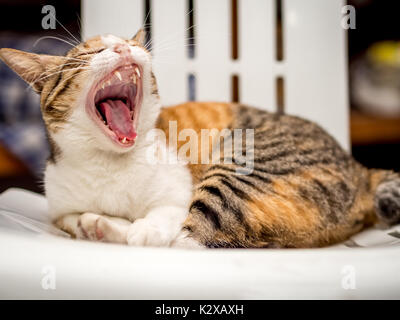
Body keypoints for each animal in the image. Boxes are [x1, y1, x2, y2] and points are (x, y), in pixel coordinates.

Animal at [0, 30, 400, 249]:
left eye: (128, 43)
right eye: (93, 52)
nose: (125, 49)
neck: (107, 163)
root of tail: (359, 168)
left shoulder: (177, 192)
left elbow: (165, 217)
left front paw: (134, 230)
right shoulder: (60, 208)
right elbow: (69, 219)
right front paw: (94, 224)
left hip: (240, 165)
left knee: (193, 237)